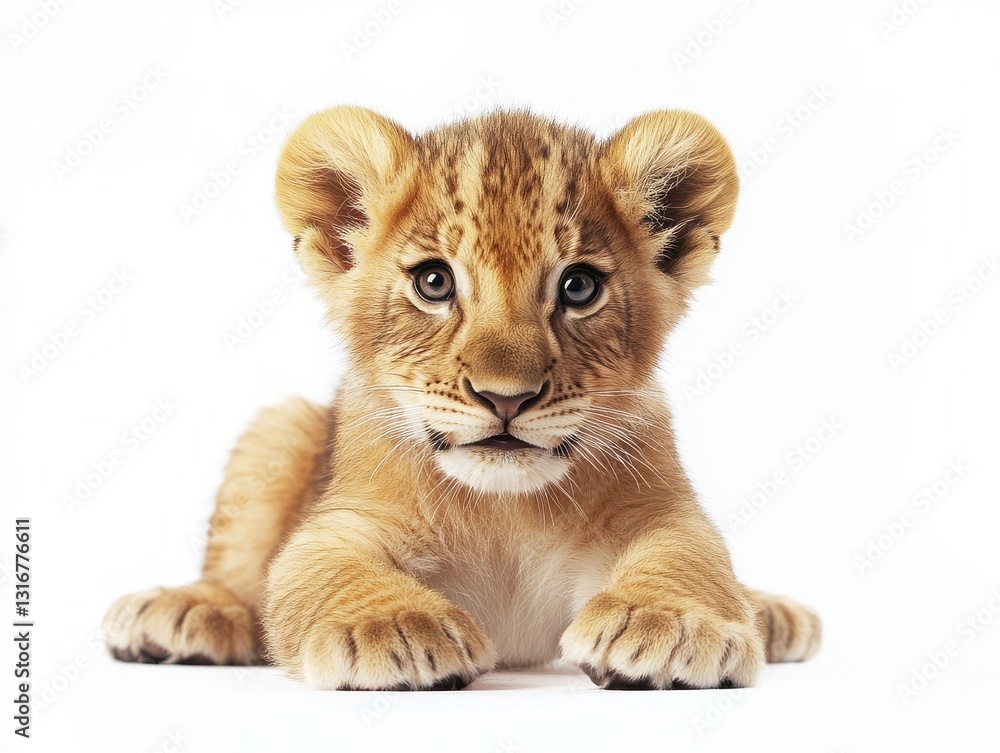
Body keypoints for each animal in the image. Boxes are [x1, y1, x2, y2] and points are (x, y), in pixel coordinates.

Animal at [103, 107, 820, 690]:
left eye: (579, 287)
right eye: (434, 282)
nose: (506, 398)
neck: (506, 511)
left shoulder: (660, 508)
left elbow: (689, 557)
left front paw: (669, 622)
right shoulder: (338, 522)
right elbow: (321, 569)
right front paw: (392, 627)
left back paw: (771, 612)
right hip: (280, 428)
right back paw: (186, 611)